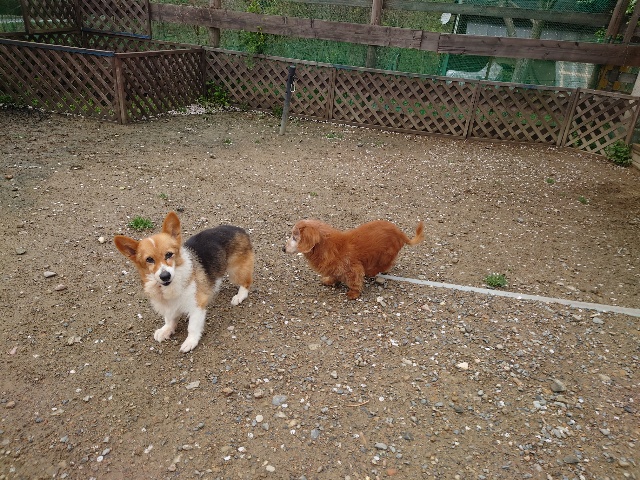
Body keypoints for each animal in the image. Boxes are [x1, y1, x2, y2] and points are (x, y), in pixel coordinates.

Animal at [114, 211, 254, 352]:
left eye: (169, 254)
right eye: (149, 259)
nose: (165, 276)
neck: (169, 286)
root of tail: (240, 229)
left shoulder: (196, 306)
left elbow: (192, 327)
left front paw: (190, 341)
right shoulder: (169, 307)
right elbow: (169, 319)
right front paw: (166, 330)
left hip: (236, 271)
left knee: (246, 282)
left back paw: (239, 296)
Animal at [284, 219, 424, 299]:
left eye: (295, 237)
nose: (282, 249)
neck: (333, 247)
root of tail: (401, 233)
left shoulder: (353, 268)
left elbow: (355, 281)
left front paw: (353, 294)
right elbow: (334, 275)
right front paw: (329, 281)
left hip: (385, 255)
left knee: (386, 266)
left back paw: (373, 272)